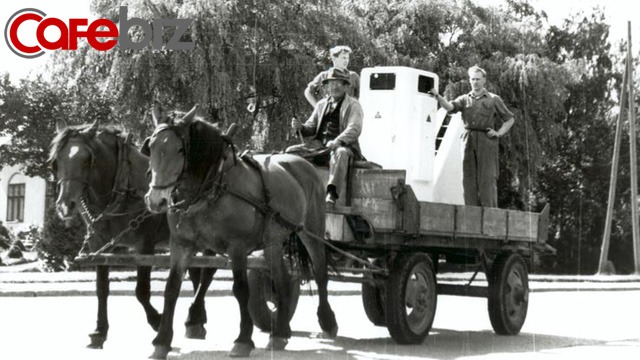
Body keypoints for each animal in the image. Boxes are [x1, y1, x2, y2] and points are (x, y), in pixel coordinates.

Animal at [48, 121, 218, 348]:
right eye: (56, 162)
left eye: (87, 159)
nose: (66, 205)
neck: (122, 188)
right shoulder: (98, 245)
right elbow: (102, 288)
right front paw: (99, 331)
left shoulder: (144, 245)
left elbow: (141, 290)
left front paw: (157, 321)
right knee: (195, 273)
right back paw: (196, 319)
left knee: (208, 273)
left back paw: (195, 316)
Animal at [142, 102, 338, 358]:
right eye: (151, 147)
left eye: (180, 150)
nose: (157, 200)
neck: (212, 188)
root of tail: (301, 162)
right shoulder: (181, 245)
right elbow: (171, 289)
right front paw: (162, 341)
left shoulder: (237, 247)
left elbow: (241, 289)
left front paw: (243, 339)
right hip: (273, 241)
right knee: (283, 281)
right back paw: (280, 333)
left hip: (311, 230)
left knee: (321, 273)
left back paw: (327, 321)